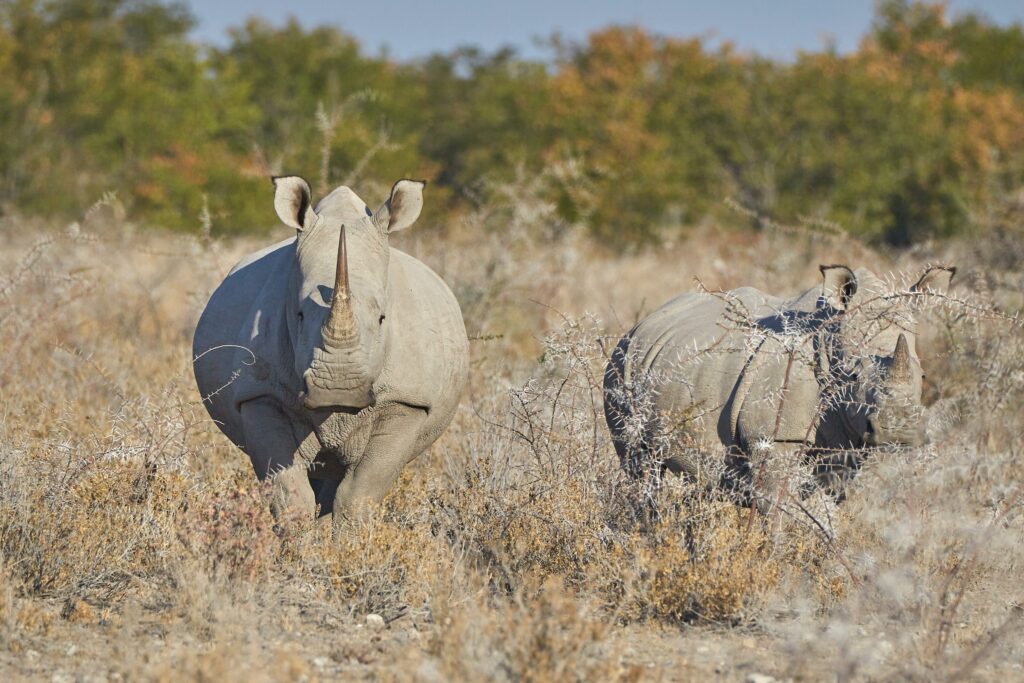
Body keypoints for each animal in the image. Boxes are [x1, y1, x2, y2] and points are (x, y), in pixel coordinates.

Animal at [193, 176, 469, 524]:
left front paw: (350, 537)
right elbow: (288, 493)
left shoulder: (406, 401)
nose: (338, 391)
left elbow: (360, 493)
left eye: (382, 318)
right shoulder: (260, 394)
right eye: (298, 315)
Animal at [603, 264, 955, 512]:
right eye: (852, 377)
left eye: (923, 378)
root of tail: (642, 323)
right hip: (620, 365)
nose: (900, 433)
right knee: (640, 466)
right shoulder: (776, 435)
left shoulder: (846, 448)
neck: (828, 342)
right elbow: (784, 512)